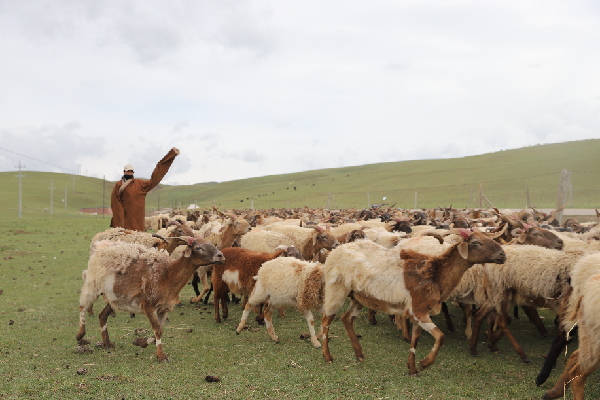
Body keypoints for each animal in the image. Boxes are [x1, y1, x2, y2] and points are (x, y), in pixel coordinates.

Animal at [75, 238, 225, 362]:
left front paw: (140, 342)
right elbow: (157, 330)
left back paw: (107, 343)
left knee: (102, 316)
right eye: (199, 248)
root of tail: (100, 247)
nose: (221, 256)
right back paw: (80, 335)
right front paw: (161, 356)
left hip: (114, 297)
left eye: (212, 245)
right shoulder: (149, 306)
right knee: (83, 306)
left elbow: (160, 329)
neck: (168, 275)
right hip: (93, 284)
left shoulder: (164, 308)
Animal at [318, 230, 506, 376]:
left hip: (359, 297)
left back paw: (359, 353)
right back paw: (328, 356)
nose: (502, 255)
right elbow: (441, 336)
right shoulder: (419, 310)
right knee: (326, 321)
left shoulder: (420, 313)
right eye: (476, 242)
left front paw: (412, 369)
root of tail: (337, 249)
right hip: (336, 289)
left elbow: (415, 341)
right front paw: (425, 363)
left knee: (347, 318)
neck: (436, 272)